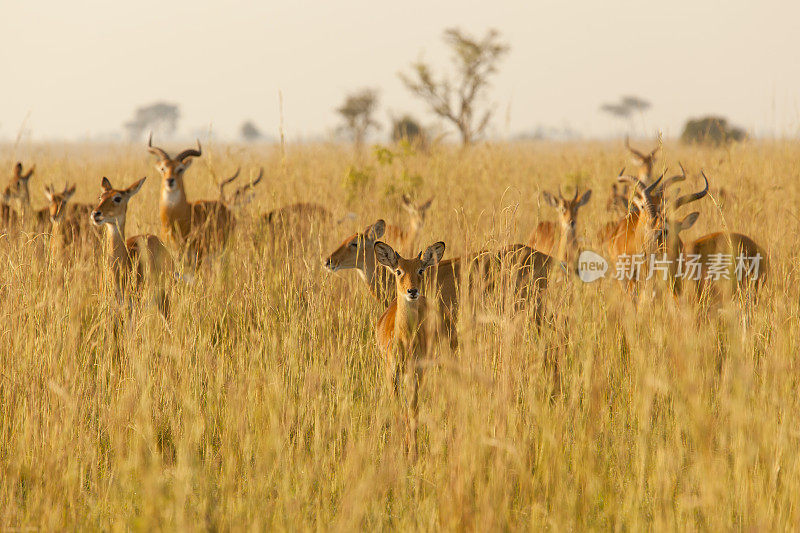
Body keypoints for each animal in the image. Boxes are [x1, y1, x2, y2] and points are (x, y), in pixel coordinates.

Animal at [374, 239, 446, 460]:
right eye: (398, 270)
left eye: (421, 269)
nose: (412, 291)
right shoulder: (391, 372)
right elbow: (398, 409)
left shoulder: (417, 372)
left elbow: (413, 409)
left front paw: (412, 452)